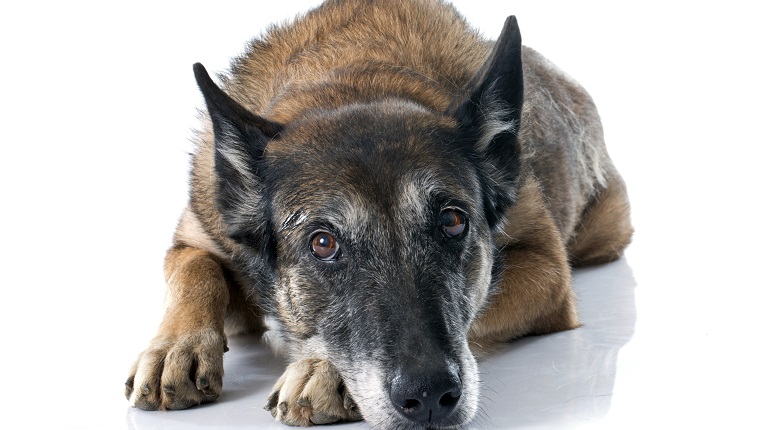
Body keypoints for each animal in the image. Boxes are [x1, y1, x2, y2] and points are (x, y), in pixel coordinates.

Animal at [126, 0, 636, 426]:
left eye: (453, 221)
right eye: (323, 243)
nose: (430, 398)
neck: (353, 79)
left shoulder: (547, 269)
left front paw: (324, 369)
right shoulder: (197, 237)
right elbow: (195, 271)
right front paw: (176, 347)